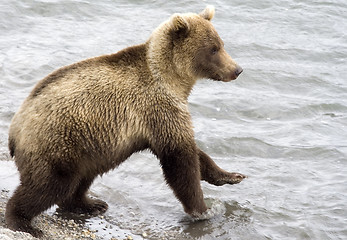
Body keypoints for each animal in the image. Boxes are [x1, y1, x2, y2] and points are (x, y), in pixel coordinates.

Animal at [4, 5, 245, 236]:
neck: (174, 80)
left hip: (86, 149)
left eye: (221, 44)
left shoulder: (165, 116)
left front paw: (232, 176)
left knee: (80, 179)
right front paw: (203, 211)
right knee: (48, 186)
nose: (237, 69)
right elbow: (180, 161)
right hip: (56, 143)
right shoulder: (159, 108)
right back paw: (23, 222)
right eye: (213, 49)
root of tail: (15, 128)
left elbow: (194, 152)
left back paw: (90, 204)